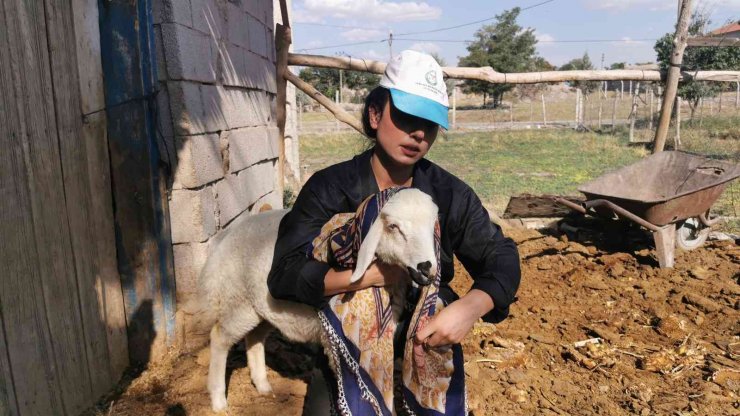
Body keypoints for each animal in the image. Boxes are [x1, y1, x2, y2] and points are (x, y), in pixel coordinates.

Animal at [197, 189, 440, 412]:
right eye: (393, 227)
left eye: (432, 227)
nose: (426, 268)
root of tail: (225, 236)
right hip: (237, 300)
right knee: (219, 338)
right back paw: (218, 401)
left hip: (262, 307)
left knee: (254, 338)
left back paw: (263, 385)